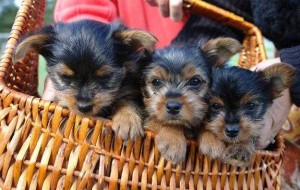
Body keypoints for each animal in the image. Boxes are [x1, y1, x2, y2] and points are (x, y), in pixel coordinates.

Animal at [13, 20, 157, 140]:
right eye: (65, 76)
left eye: (105, 77)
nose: (84, 106)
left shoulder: (129, 90)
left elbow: (126, 100)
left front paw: (127, 120)